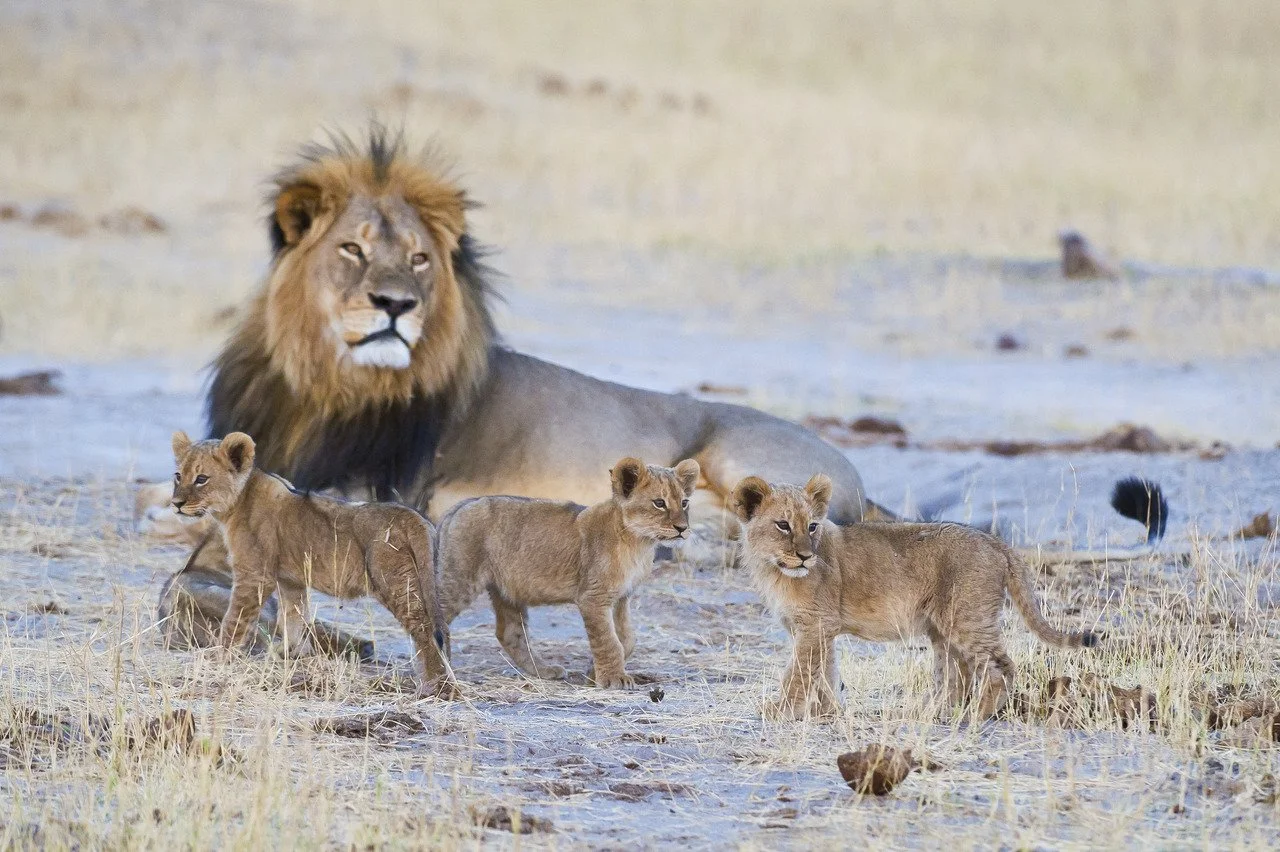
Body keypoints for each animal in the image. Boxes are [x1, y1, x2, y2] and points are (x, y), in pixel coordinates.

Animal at [170, 430, 456, 697]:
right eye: (178, 476)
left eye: (201, 479)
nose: (176, 504)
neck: (237, 502)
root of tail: (412, 516)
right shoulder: (290, 581)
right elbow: (294, 618)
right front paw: (292, 656)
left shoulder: (254, 576)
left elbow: (234, 621)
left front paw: (219, 657)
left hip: (395, 582)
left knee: (424, 630)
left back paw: (437, 687)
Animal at [436, 457, 698, 689]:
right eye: (659, 503)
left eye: (684, 502)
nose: (682, 528)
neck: (639, 543)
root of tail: (458, 507)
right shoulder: (593, 597)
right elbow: (608, 640)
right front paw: (614, 679)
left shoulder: (622, 597)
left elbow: (626, 639)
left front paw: (593, 672)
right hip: (460, 579)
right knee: (434, 616)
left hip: (505, 590)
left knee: (509, 633)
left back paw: (544, 671)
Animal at [730, 474, 1100, 721]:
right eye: (783, 525)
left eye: (812, 526)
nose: (806, 557)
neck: (774, 569)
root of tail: (996, 543)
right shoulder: (818, 628)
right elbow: (825, 671)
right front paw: (828, 712)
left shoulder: (816, 624)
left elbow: (798, 672)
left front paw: (780, 711)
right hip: (944, 628)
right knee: (958, 674)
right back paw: (937, 712)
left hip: (967, 617)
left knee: (999, 667)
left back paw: (976, 716)